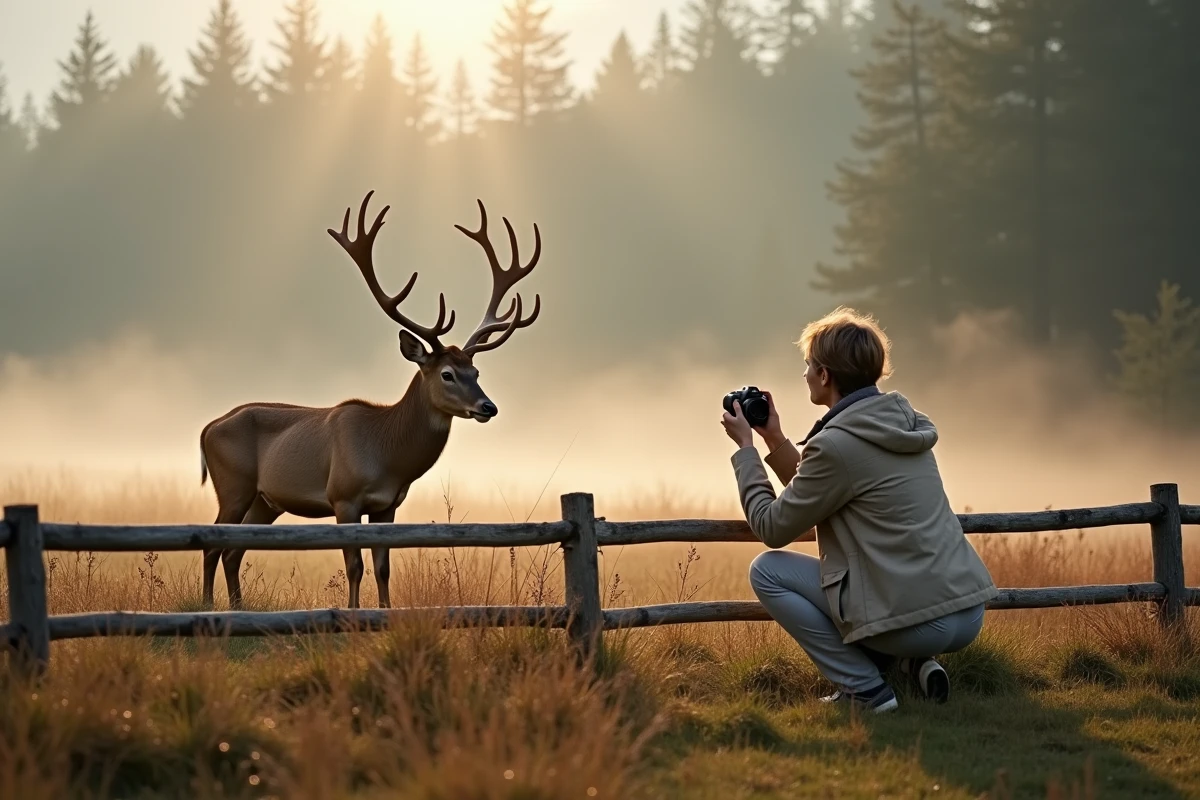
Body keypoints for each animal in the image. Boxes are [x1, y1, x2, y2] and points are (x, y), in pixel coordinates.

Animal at [198, 190, 543, 611]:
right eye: (447, 374)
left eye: (476, 372)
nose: (487, 407)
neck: (387, 453)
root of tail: (208, 428)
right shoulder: (342, 497)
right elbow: (355, 566)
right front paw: (351, 614)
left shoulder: (388, 505)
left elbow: (382, 568)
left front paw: (385, 613)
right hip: (233, 484)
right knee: (213, 545)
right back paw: (208, 606)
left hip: (266, 500)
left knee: (233, 549)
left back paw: (238, 608)